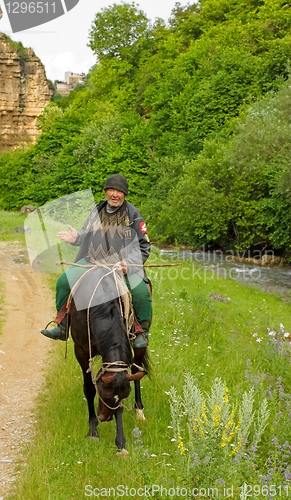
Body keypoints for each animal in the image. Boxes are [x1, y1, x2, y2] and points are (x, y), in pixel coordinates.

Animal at [70, 266, 151, 454]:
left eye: (122, 396)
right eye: (103, 393)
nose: (104, 418)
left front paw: (121, 444)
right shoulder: (81, 351)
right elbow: (89, 389)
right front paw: (93, 431)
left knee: (136, 370)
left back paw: (139, 410)